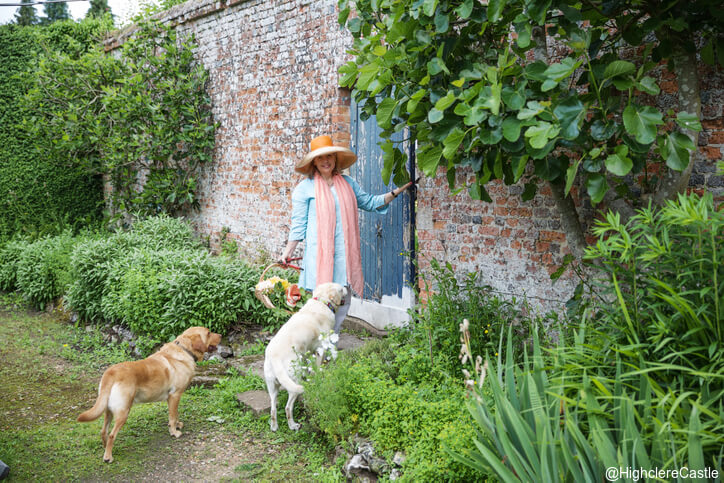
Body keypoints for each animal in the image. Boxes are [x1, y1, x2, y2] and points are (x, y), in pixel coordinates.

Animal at [77, 328, 221, 464]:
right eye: (209, 332)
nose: (220, 335)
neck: (184, 349)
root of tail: (111, 373)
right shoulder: (175, 395)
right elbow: (172, 417)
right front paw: (174, 432)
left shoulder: (171, 398)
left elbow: (174, 415)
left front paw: (177, 425)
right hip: (123, 412)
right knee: (112, 435)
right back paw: (108, 457)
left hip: (108, 410)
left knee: (103, 431)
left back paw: (105, 447)